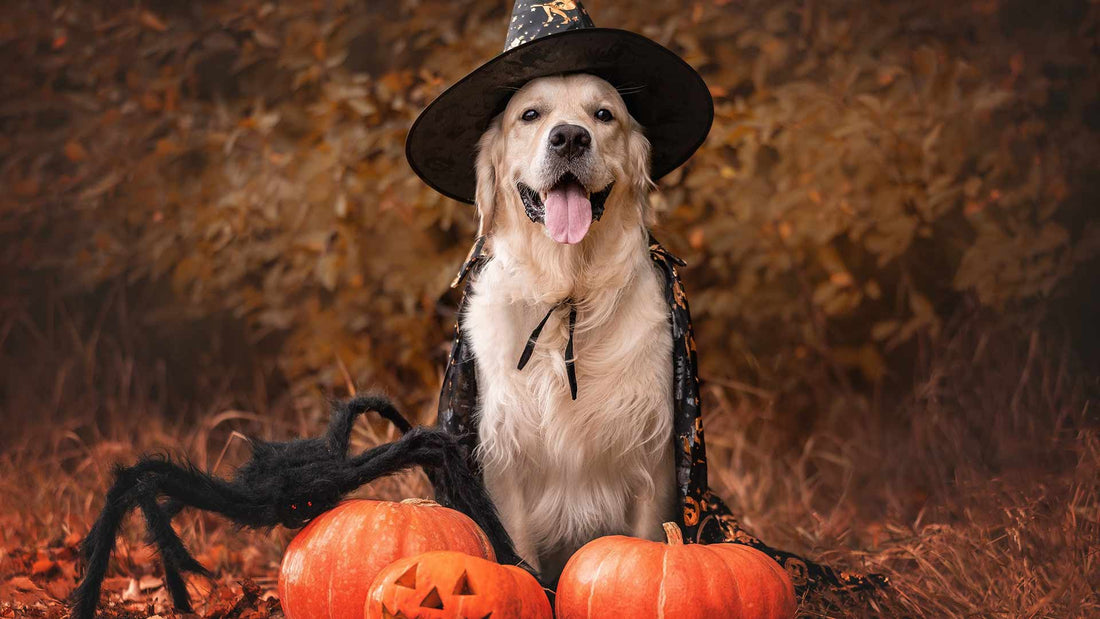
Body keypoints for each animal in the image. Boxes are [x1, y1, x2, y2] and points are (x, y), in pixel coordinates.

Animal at [459, 73, 673, 580]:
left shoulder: (653, 458)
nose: (570, 138)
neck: (566, 295)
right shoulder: (505, 460)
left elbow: (651, 538)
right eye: (530, 114)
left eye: (604, 115)